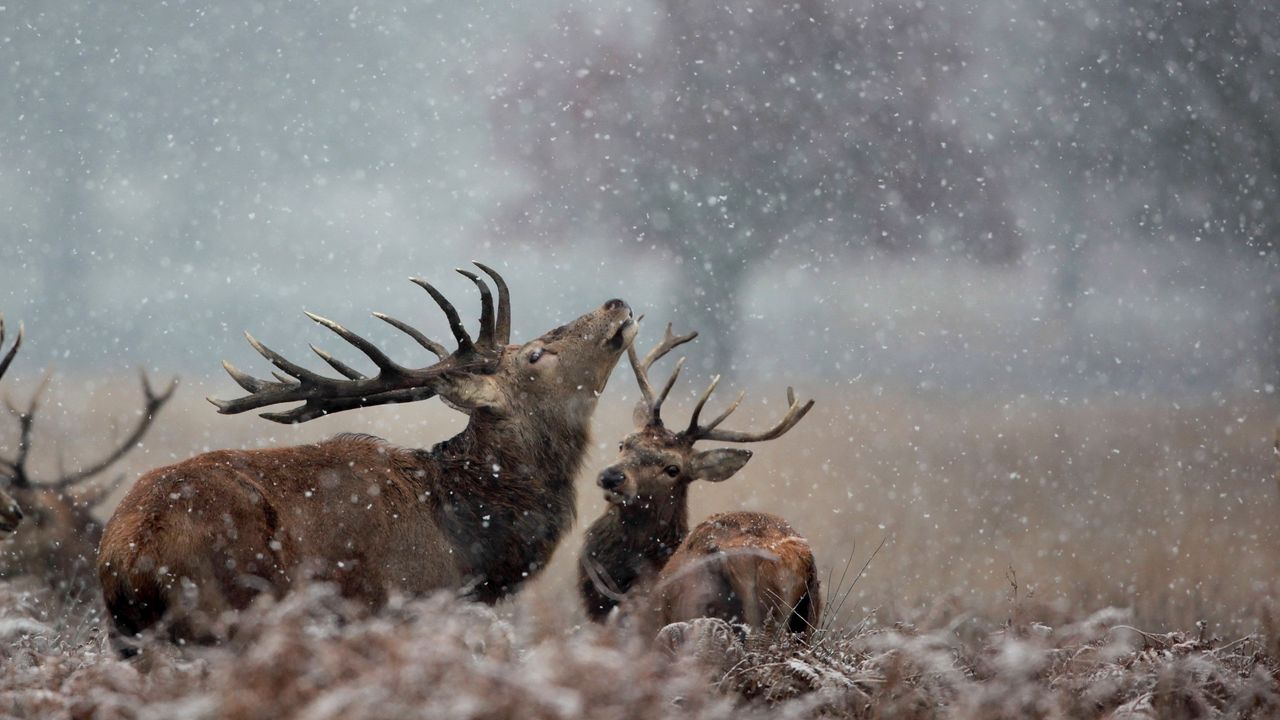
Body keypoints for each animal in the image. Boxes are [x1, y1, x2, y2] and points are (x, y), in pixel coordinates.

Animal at [99, 263, 640, 645]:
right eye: (535, 354)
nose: (616, 303)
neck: (468, 546)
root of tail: (129, 555)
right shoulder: (404, 605)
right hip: (225, 613)